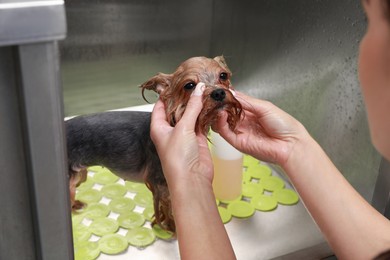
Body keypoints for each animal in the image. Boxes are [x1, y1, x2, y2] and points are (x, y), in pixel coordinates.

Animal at [67, 55, 244, 233]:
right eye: (189, 85)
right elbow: (168, 208)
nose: (219, 92)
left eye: (223, 75)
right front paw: (171, 227)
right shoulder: (161, 182)